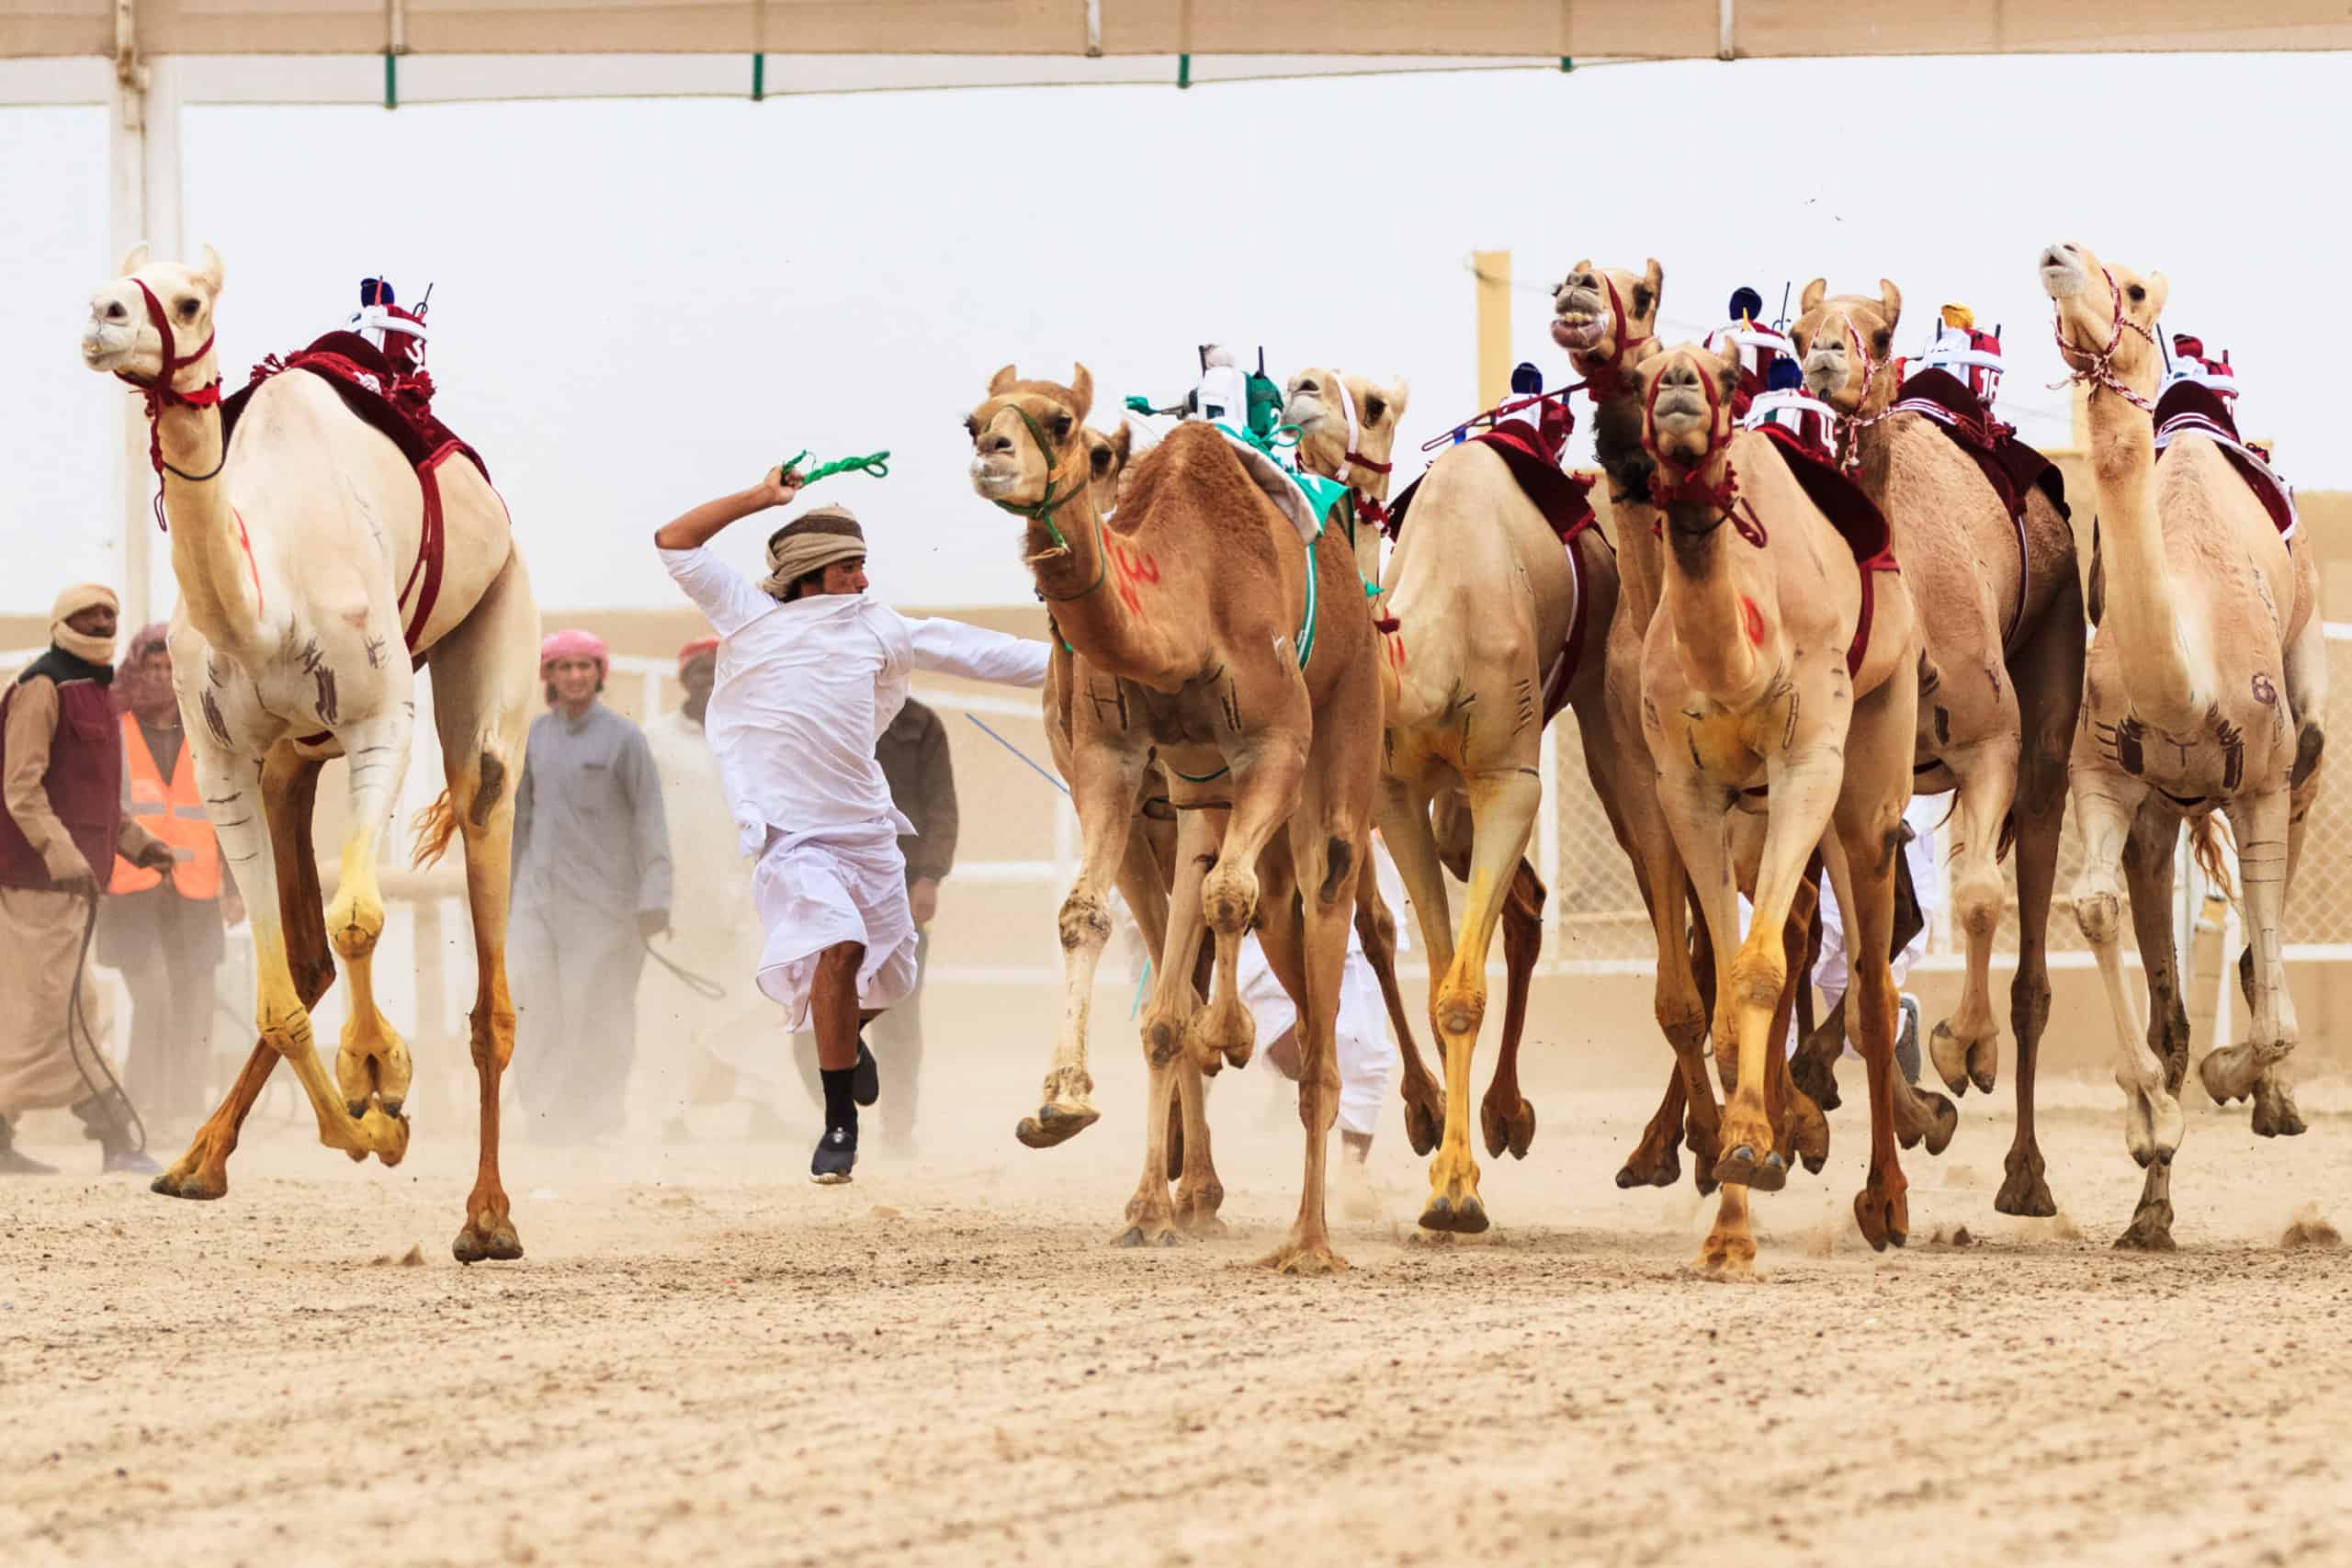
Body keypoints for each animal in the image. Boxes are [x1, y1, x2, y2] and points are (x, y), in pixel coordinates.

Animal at [79, 251, 538, 1269]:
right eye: (119, 279)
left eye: (188, 301)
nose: (104, 317)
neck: (269, 604)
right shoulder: (218, 759)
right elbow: (281, 993)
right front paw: (371, 1119)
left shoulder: (380, 715)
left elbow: (361, 917)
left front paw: (381, 1068)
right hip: (292, 759)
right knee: (304, 950)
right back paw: (196, 1160)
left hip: (500, 607)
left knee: (485, 840)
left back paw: (489, 1216)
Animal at [968, 364, 1383, 1279]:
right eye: (972, 420)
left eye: (1064, 424)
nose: (993, 454)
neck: (1189, 603)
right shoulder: (1114, 762)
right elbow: (1087, 917)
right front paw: (1062, 1106)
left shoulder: (1273, 743)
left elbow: (1227, 903)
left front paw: (1229, 1033)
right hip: (1198, 794)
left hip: (1343, 726)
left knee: (1325, 934)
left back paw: (1312, 1239)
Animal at [1627, 343, 1918, 1279]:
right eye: (1644, 375)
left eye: (1725, 376)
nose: (1681, 386)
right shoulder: (1684, 790)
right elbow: (1726, 1000)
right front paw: (1735, 1195)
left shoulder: (1805, 762)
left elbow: (1757, 970)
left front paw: (1759, 1143)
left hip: (1870, 766)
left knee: (1872, 982)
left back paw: (1886, 1201)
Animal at [1787, 278, 2088, 1213]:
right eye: (1798, 331)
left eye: (1880, 333)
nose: (1826, 357)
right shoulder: (1846, 784)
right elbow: (1866, 965)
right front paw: (1917, 1111)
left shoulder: (1992, 744)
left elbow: (1982, 899)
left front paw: (1966, 1049)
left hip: (2050, 713)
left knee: (2031, 968)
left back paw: (2026, 1172)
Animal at [2031, 242, 2324, 1250]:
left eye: (2132, 286)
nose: (2058, 255)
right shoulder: (2102, 775)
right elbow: (2091, 910)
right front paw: (2150, 1120)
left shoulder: (2262, 778)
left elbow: (2274, 1009)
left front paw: (2242, 1079)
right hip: (2162, 818)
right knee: (2170, 994)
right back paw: (2149, 1213)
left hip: (2297, 740)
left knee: (2268, 934)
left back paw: (2268, 1098)